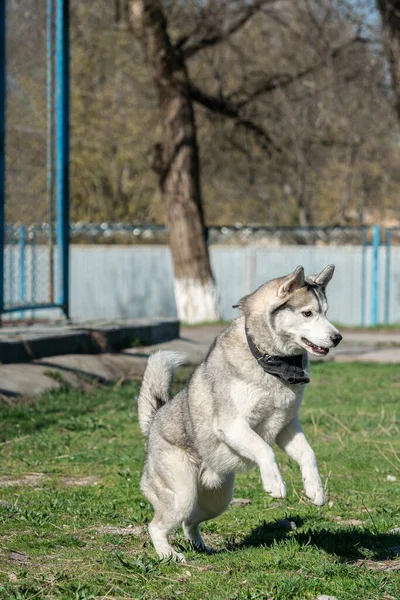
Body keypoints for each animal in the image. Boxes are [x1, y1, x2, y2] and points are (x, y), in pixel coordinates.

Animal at [138, 264, 340, 560]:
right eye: (307, 313)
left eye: (325, 312)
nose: (338, 338)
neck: (270, 362)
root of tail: (154, 420)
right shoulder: (233, 425)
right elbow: (265, 451)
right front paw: (275, 483)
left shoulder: (287, 426)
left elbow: (308, 454)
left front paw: (315, 489)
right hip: (183, 494)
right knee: (157, 526)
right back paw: (168, 555)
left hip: (218, 500)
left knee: (189, 522)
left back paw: (201, 546)